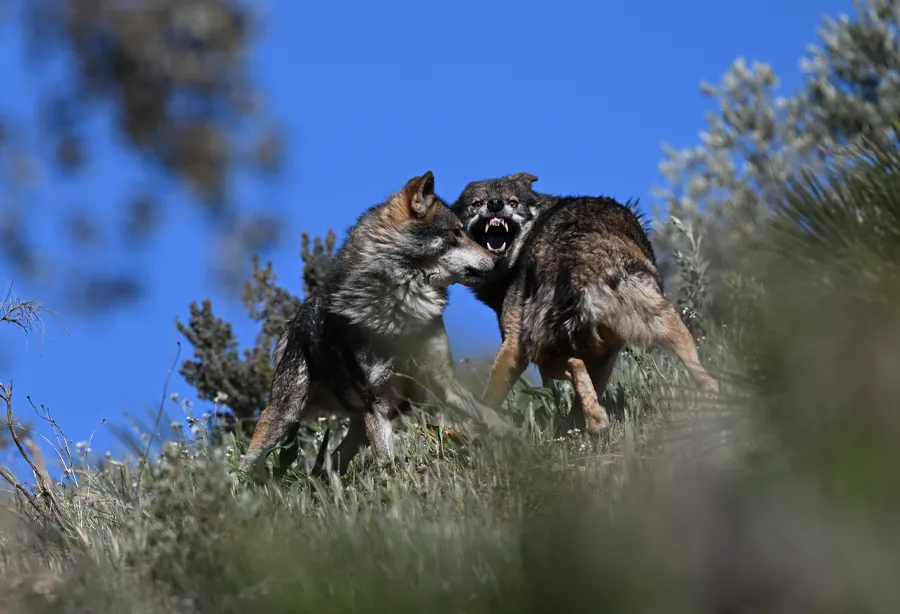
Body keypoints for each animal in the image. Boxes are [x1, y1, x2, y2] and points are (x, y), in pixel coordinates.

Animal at [239, 172, 506, 482]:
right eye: (456, 232)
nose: (498, 259)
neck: (402, 307)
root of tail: (293, 323)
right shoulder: (378, 404)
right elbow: (388, 461)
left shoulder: (443, 382)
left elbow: (490, 416)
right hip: (285, 417)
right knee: (248, 461)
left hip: (360, 426)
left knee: (332, 458)